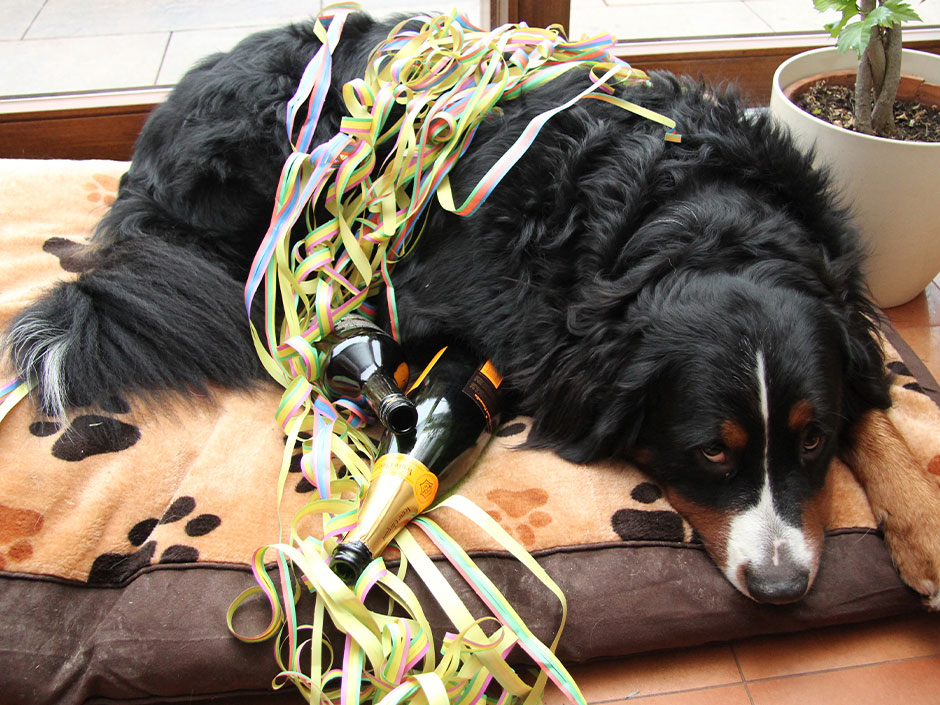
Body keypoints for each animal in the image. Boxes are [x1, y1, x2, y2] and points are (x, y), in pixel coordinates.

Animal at [3, 11, 936, 604]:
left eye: (812, 438)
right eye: (710, 451)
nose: (781, 586)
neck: (695, 212)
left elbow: (883, 410)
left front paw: (921, 523)